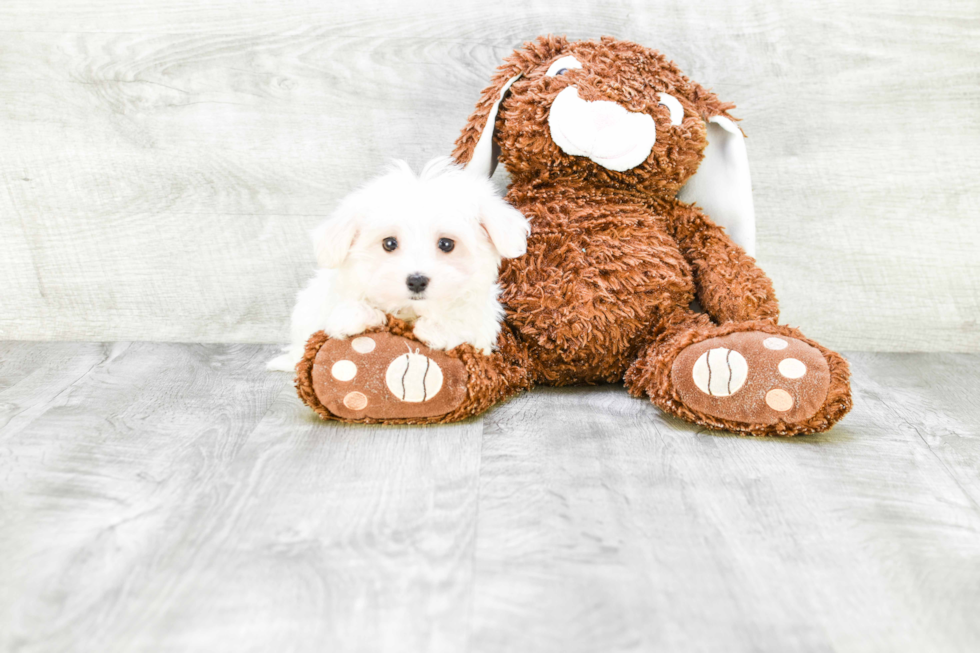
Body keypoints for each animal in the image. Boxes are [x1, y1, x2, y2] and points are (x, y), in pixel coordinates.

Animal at [266, 157, 528, 370]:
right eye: (389, 243)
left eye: (446, 244)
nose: (417, 281)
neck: (410, 311)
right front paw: (358, 316)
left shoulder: (483, 322)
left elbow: (465, 321)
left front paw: (437, 328)